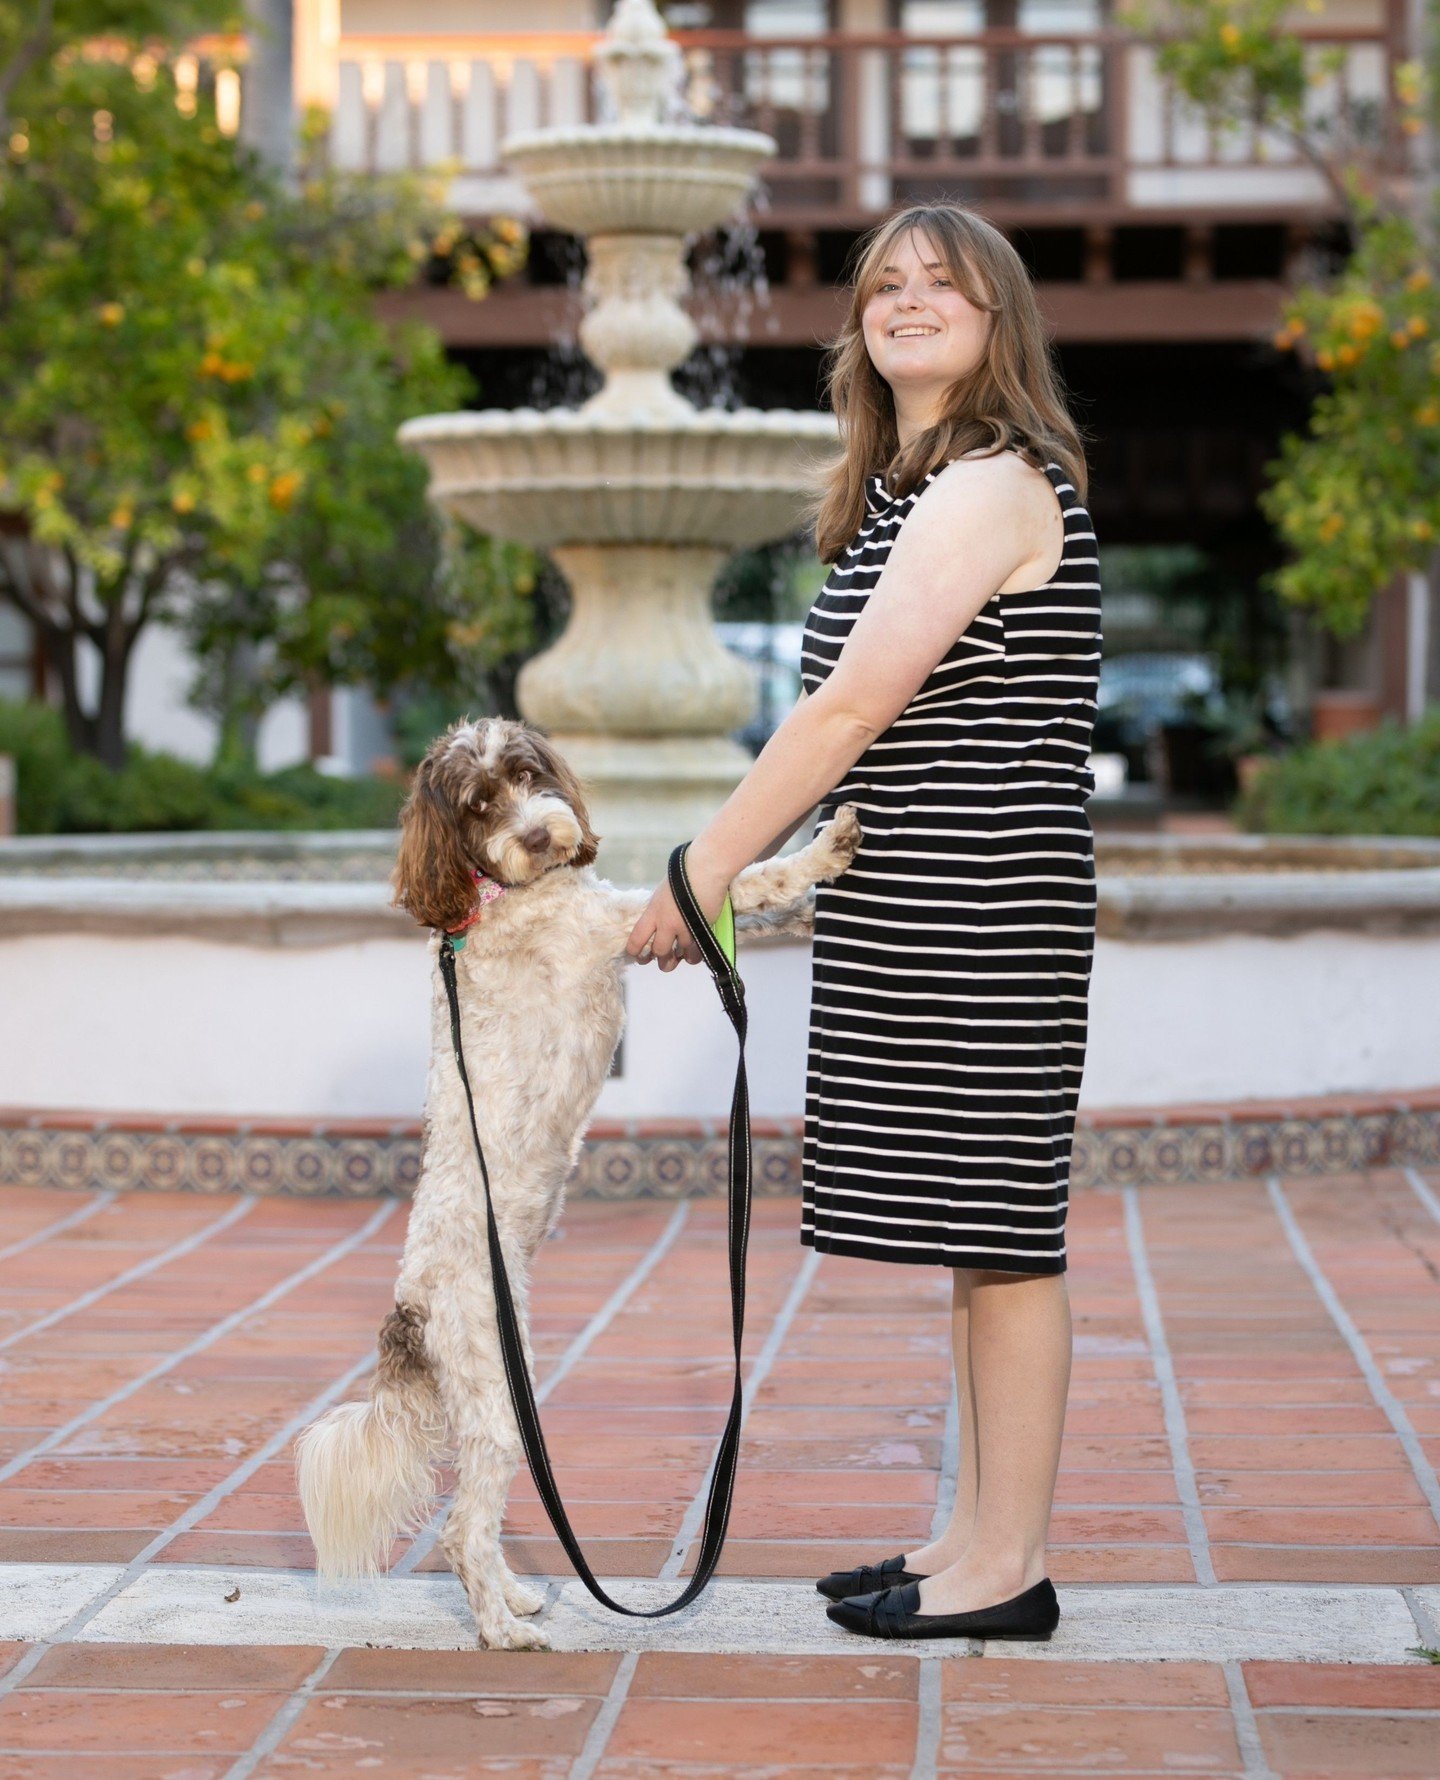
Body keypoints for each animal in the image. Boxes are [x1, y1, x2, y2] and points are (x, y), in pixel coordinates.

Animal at [286, 715, 857, 1644]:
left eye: (526, 776)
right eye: (478, 806)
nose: (534, 836)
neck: (495, 897)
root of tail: (408, 1312)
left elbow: (747, 902)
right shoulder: (617, 923)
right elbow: (738, 878)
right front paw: (818, 853)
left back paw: (516, 1595)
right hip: (492, 1396)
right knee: (461, 1530)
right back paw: (502, 1629)